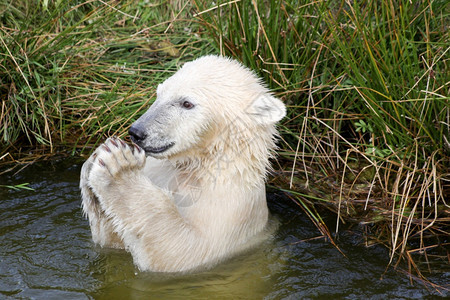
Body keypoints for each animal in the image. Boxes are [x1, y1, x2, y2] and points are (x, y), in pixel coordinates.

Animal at [80, 54, 284, 272]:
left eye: (186, 103)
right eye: (159, 93)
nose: (137, 132)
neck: (198, 164)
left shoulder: (231, 208)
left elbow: (182, 250)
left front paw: (119, 166)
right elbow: (116, 242)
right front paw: (96, 158)